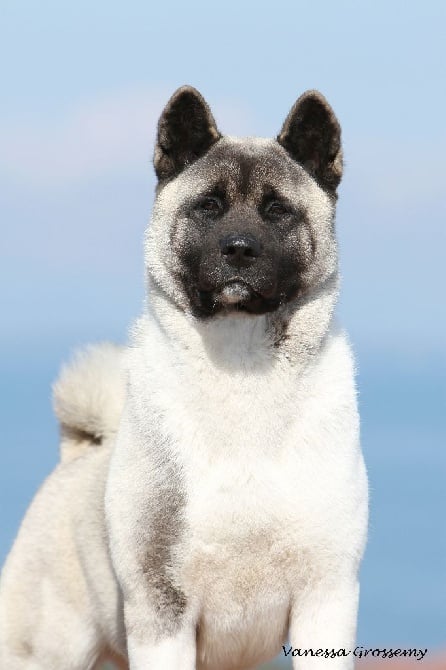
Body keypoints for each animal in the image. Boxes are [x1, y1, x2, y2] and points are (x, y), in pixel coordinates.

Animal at [0, 86, 368, 668]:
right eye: (209, 205)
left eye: (277, 210)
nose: (238, 248)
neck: (242, 372)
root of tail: (79, 454)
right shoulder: (160, 608)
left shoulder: (325, 599)